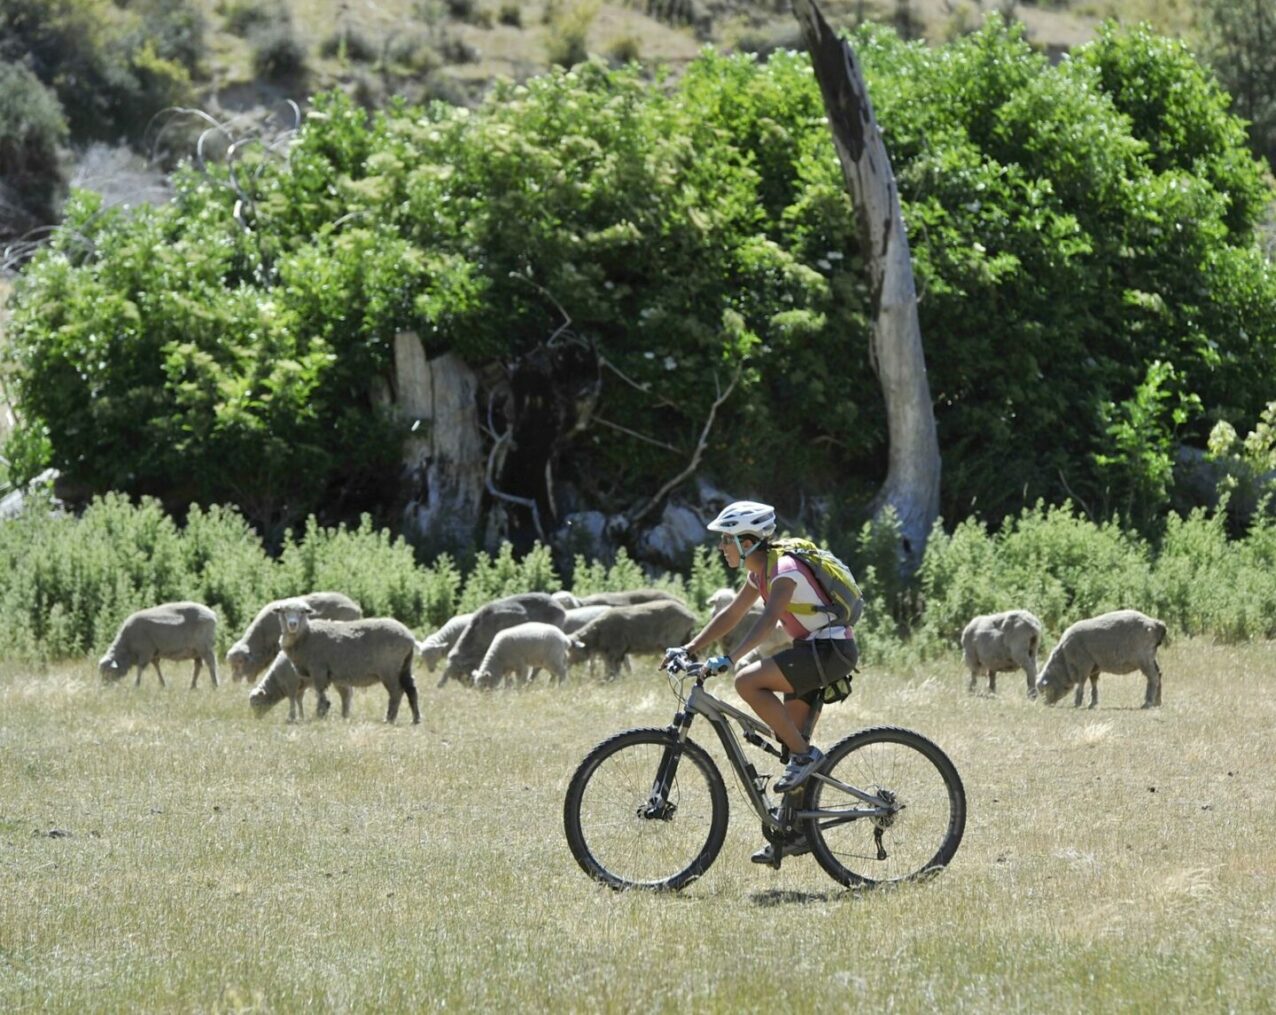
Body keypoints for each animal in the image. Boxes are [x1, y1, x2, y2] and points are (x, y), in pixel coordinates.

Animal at [276, 600, 421, 725]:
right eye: (283, 611)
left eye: (303, 612)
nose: (292, 624)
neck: (305, 636)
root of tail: (409, 637)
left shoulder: (318, 669)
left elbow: (320, 693)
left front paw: (320, 714)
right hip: (405, 665)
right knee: (411, 688)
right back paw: (415, 719)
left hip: (389, 669)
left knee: (396, 691)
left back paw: (389, 719)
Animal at [574, 600, 704, 679]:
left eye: (571, 649)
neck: (597, 632)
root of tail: (691, 616)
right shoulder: (617, 650)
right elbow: (615, 666)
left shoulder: (616, 647)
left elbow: (614, 666)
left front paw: (612, 679)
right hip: (685, 637)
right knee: (692, 656)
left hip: (674, 637)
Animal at [1036, 607, 1168, 709]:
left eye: (1044, 690)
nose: (1046, 704)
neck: (1064, 660)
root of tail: (1155, 623)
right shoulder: (1095, 667)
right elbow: (1093, 683)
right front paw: (1092, 703)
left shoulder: (1084, 664)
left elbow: (1081, 683)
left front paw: (1077, 703)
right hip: (1150, 656)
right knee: (1159, 674)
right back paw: (1157, 702)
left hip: (1143, 658)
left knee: (1153, 677)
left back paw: (1148, 702)